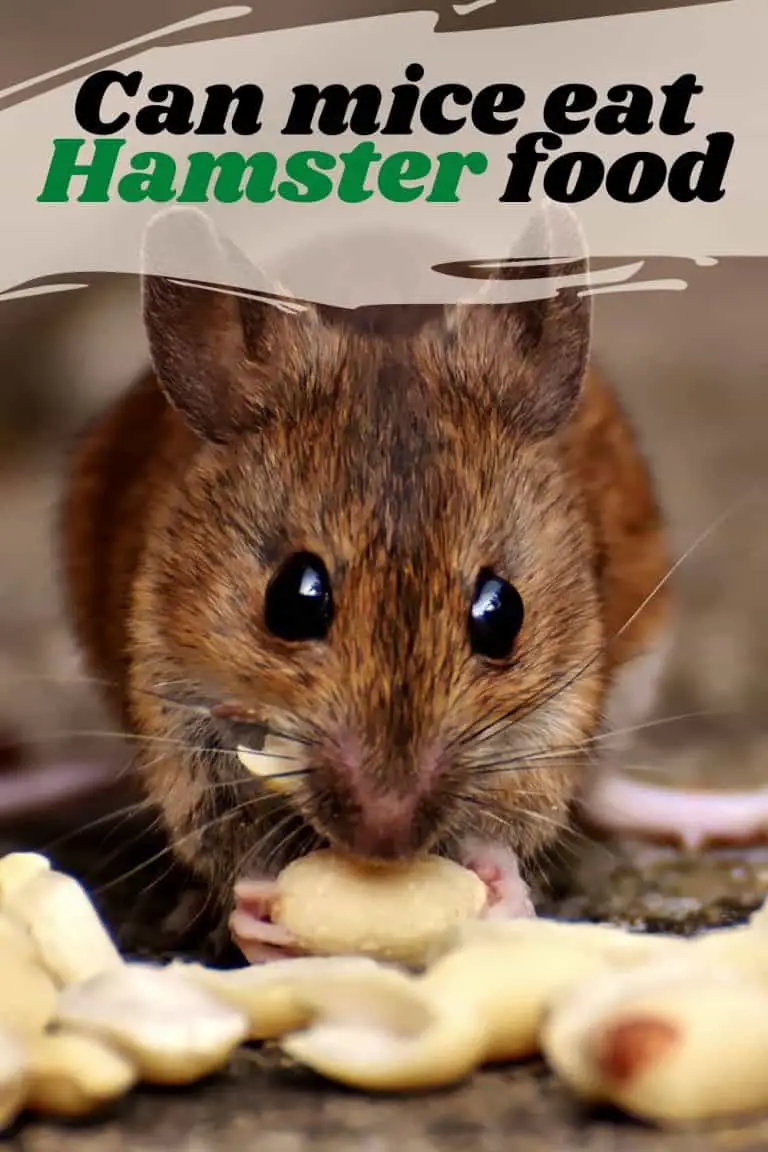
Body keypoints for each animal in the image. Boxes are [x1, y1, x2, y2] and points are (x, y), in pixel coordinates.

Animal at [57, 204, 685, 952]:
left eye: (503, 613)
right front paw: (254, 916)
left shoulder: (552, 722)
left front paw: (501, 892)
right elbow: (231, 849)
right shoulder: (180, 718)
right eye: (293, 600)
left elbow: (510, 829)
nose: (386, 842)